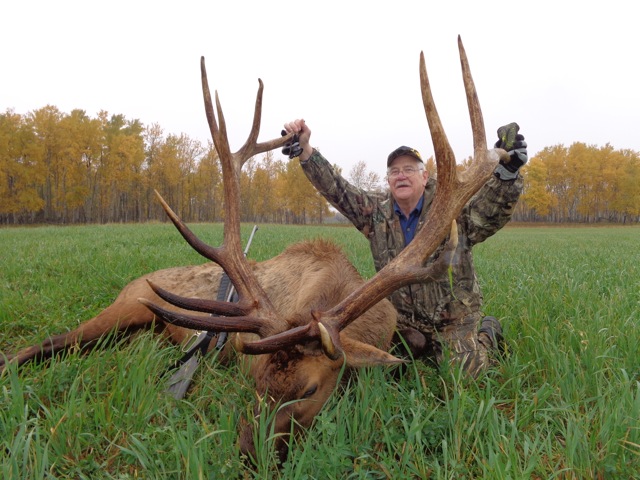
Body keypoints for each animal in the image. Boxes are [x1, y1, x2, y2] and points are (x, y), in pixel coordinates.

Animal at [0, 36, 508, 464]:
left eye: (308, 390)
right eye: (257, 381)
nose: (249, 451)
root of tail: (135, 282)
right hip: (126, 307)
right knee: (47, 343)